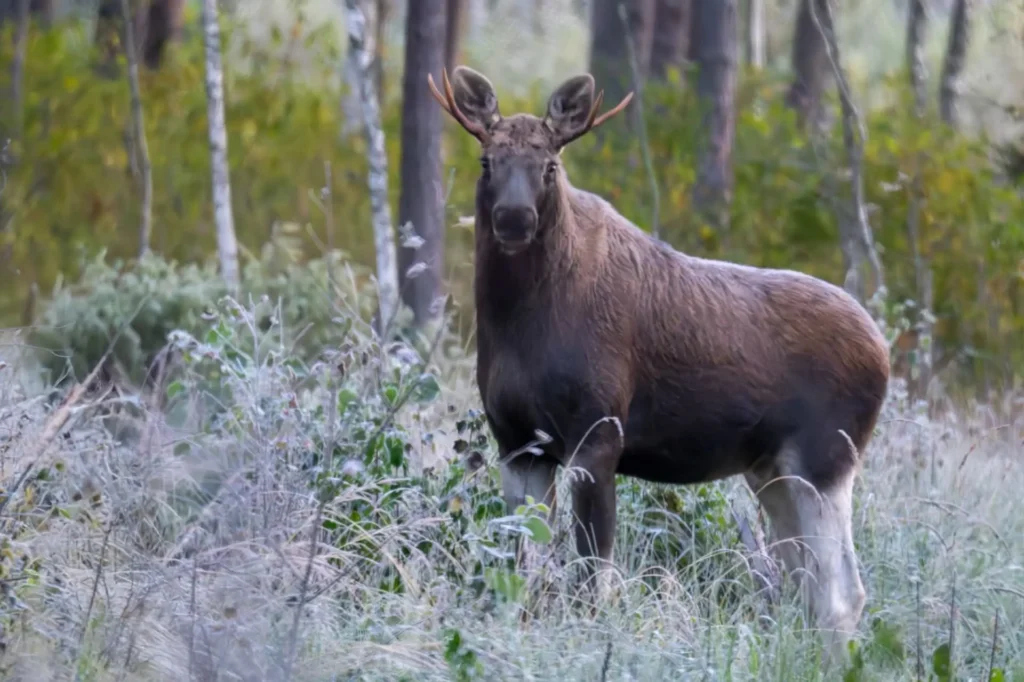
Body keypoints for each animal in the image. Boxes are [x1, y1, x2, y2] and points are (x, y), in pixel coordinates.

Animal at [428, 65, 890, 662]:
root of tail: (884, 352)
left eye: (550, 166)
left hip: (825, 459)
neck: (517, 320)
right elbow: (524, 571)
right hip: (772, 470)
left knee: (842, 594)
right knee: (806, 585)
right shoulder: (518, 443)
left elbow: (591, 580)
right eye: (487, 160)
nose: (513, 218)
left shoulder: (597, 435)